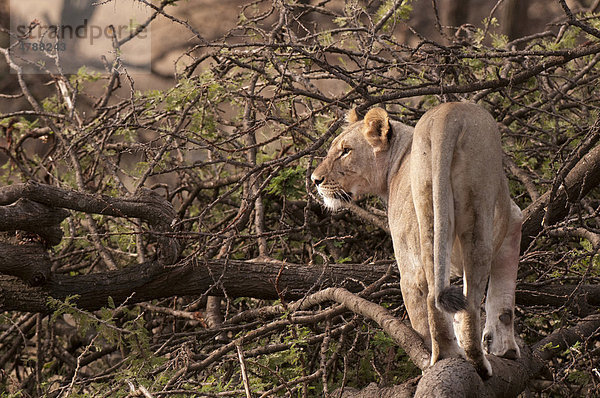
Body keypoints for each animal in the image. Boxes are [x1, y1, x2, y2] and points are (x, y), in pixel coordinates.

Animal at [312, 102, 524, 376]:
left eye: (345, 151)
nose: (315, 180)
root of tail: (449, 116)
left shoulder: (513, 221)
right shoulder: (513, 222)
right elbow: (503, 300)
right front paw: (505, 349)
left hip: (426, 209)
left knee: (431, 296)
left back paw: (446, 358)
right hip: (472, 213)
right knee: (463, 299)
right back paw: (473, 361)